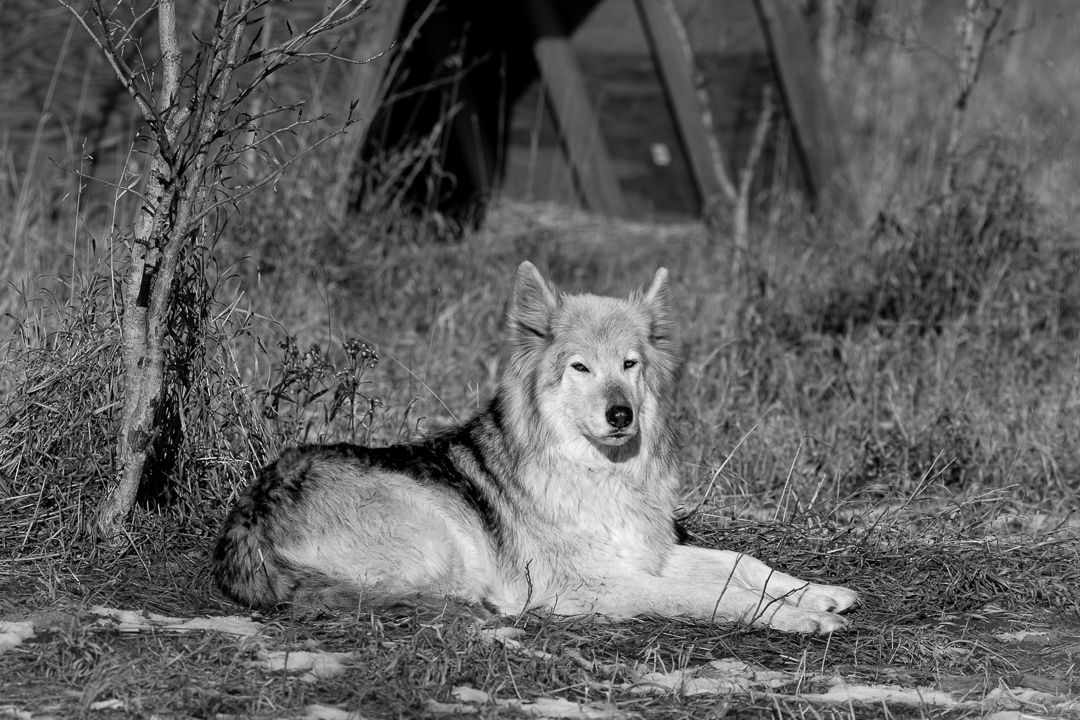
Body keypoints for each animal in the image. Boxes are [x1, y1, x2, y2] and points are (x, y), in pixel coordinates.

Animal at [213, 262, 859, 634]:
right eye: (581, 367)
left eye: (629, 365)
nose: (620, 414)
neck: (598, 476)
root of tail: (246, 522)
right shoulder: (600, 584)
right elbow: (710, 595)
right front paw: (797, 618)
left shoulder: (647, 554)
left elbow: (743, 564)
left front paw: (821, 594)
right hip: (444, 545)